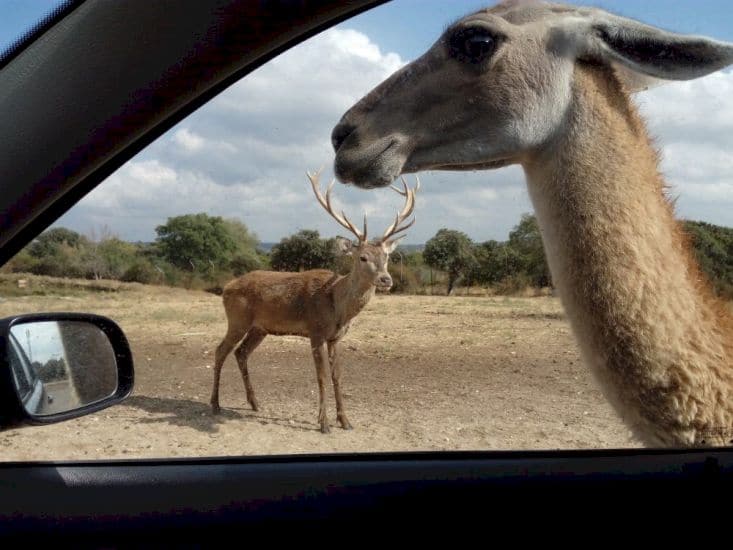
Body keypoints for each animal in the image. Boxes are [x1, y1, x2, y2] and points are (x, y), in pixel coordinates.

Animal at [212, 172, 418, 436]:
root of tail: (226, 287)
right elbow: (321, 376)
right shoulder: (316, 331)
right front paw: (324, 423)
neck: (337, 308)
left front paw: (346, 421)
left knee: (241, 353)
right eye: (363, 257)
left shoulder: (335, 338)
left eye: (387, 257)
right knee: (220, 351)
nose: (386, 279)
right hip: (237, 319)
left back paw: (255, 403)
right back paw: (215, 404)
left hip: (260, 328)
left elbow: (337, 376)